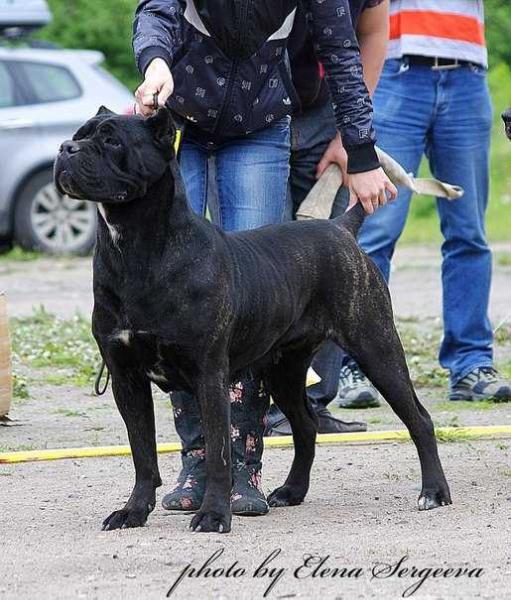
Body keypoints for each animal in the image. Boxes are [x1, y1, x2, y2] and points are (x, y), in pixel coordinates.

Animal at [53, 108, 452, 536]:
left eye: (111, 141)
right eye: (79, 134)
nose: (66, 148)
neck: (136, 249)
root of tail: (340, 227)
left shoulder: (208, 374)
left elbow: (219, 453)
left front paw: (214, 515)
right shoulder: (127, 378)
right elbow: (143, 454)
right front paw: (133, 511)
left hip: (376, 347)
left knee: (419, 419)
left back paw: (434, 492)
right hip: (284, 369)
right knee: (306, 425)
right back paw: (292, 491)